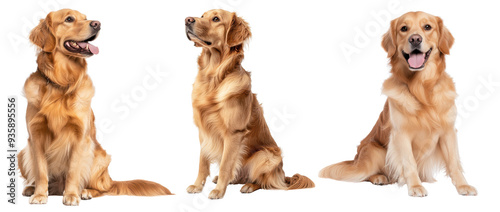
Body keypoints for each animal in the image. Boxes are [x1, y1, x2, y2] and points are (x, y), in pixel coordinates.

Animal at [18, 9, 172, 206]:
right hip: (22, 153)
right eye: (69, 19)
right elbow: (40, 171)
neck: (62, 83)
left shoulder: (80, 138)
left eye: (85, 18)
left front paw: (72, 195)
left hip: (99, 157)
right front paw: (39, 195)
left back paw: (85, 191)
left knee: (103, 189)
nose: (97, 24)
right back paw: (32, 189)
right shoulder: (35, 135)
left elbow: (73, 170)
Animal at [184, 9, 316, 199]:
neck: (213, 77)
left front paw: (218, 192)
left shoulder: (234, 133)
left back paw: (248, 186)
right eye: (202, 15)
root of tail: (283, 175)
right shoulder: (203, 131)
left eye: (216, 19)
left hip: (266, 155)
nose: (187, 20)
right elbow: (203, 162)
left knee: (264, 181)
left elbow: (225, 165)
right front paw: (197, 186)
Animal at [318, 11, 478, 197]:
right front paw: (415, 186)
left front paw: (463, 185)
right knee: (367, 174)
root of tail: (355, 159)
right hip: (374, 150)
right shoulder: (401, 134)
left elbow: (454, 163)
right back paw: (379, 177)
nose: (415, 39)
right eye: (404, 28)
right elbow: (409, 163)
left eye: (427, 27)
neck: (421, 88)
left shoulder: (448, 132)